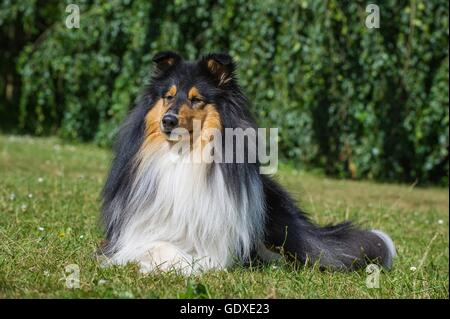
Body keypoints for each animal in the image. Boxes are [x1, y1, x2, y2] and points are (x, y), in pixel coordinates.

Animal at [99, 50, 394, 276]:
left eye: (196, 99)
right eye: (168, 96)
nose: (168, 121)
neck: (183, 155)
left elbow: (205, 257)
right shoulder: (130, 235)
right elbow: (157, 246)